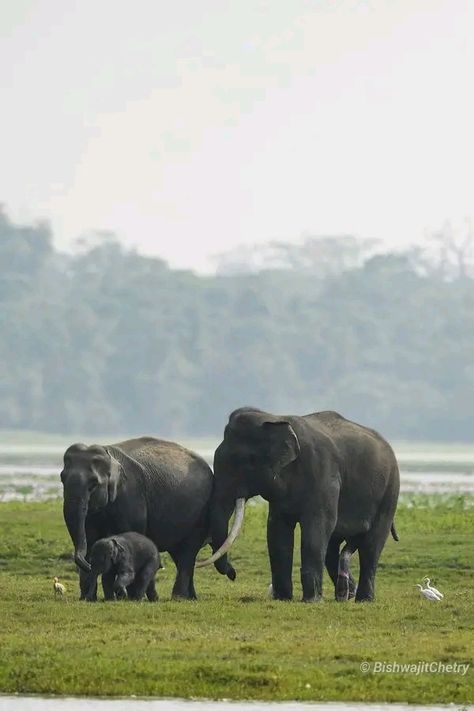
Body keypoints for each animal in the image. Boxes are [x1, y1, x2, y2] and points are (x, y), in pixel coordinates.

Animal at [60, 436, 234, 596]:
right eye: (62, 478)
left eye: (93, 484)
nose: (87, 564)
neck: (108, 452)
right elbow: (90, 538)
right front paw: (87, 598)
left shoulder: (131, 495)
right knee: (179, 554)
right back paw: (190, 598)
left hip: (199, 516)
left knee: (187, 552)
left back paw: (179, 597)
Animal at [196, 408, 400, 604]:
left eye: (245, 461)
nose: (233, 574)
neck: (274, 418)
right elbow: (277, 530)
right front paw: (283, 598)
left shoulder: (323, 475)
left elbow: (317, 527)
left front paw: (312, 601)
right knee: (332, 548)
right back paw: (346, 594)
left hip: (390, 492)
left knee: (371, 545)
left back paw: (363, 599)